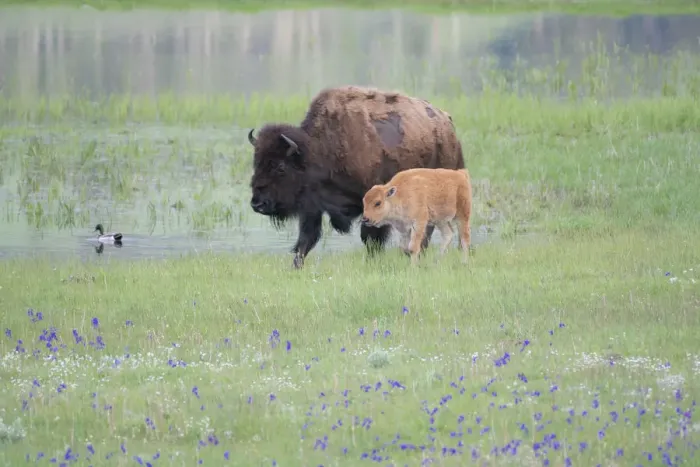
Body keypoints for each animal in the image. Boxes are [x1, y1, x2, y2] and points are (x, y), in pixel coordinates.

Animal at [247, 85, 465, 269]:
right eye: (256, 163)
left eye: (280, 167)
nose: (258, 203)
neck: (317, 151)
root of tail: (448, 124)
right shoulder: (312, 207)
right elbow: (305, 240)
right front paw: (296, 266)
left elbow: (370, 237)